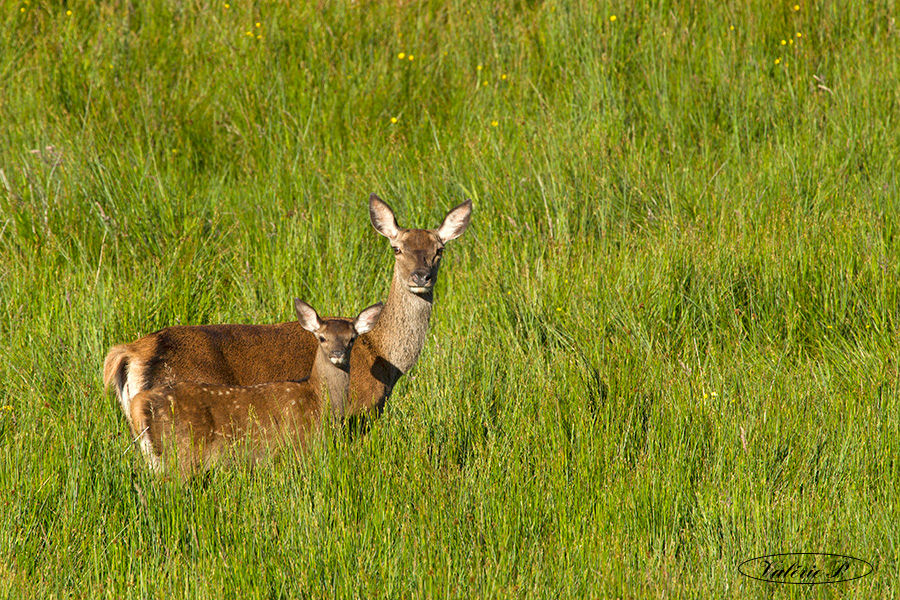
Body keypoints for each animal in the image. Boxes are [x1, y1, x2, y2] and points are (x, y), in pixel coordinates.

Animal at [104, 194, 472, 426]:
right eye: (397, 248)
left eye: (439, 249)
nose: (421, 276)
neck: (383, 354)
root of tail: (130, 353)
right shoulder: (358, 412)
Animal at [128, 300, 383, 473]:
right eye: (322, 337)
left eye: (352, 338)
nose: (338, 354)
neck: (317, 399)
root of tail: (139, 403)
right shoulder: (300, 443)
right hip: (182, 450)